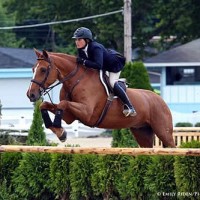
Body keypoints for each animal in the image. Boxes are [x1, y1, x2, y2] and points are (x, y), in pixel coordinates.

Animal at [26, 49, 175, 148]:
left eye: (43, 70)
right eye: (33, 69)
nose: (30, 94)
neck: (76, 81)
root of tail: (160, 99)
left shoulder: (87, 113)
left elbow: (62, 104)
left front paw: (60, 131)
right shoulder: (70, 116)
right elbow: (46, 105)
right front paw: (59, 132)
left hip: (163, 132)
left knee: (171, 146)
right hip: (142, 132)